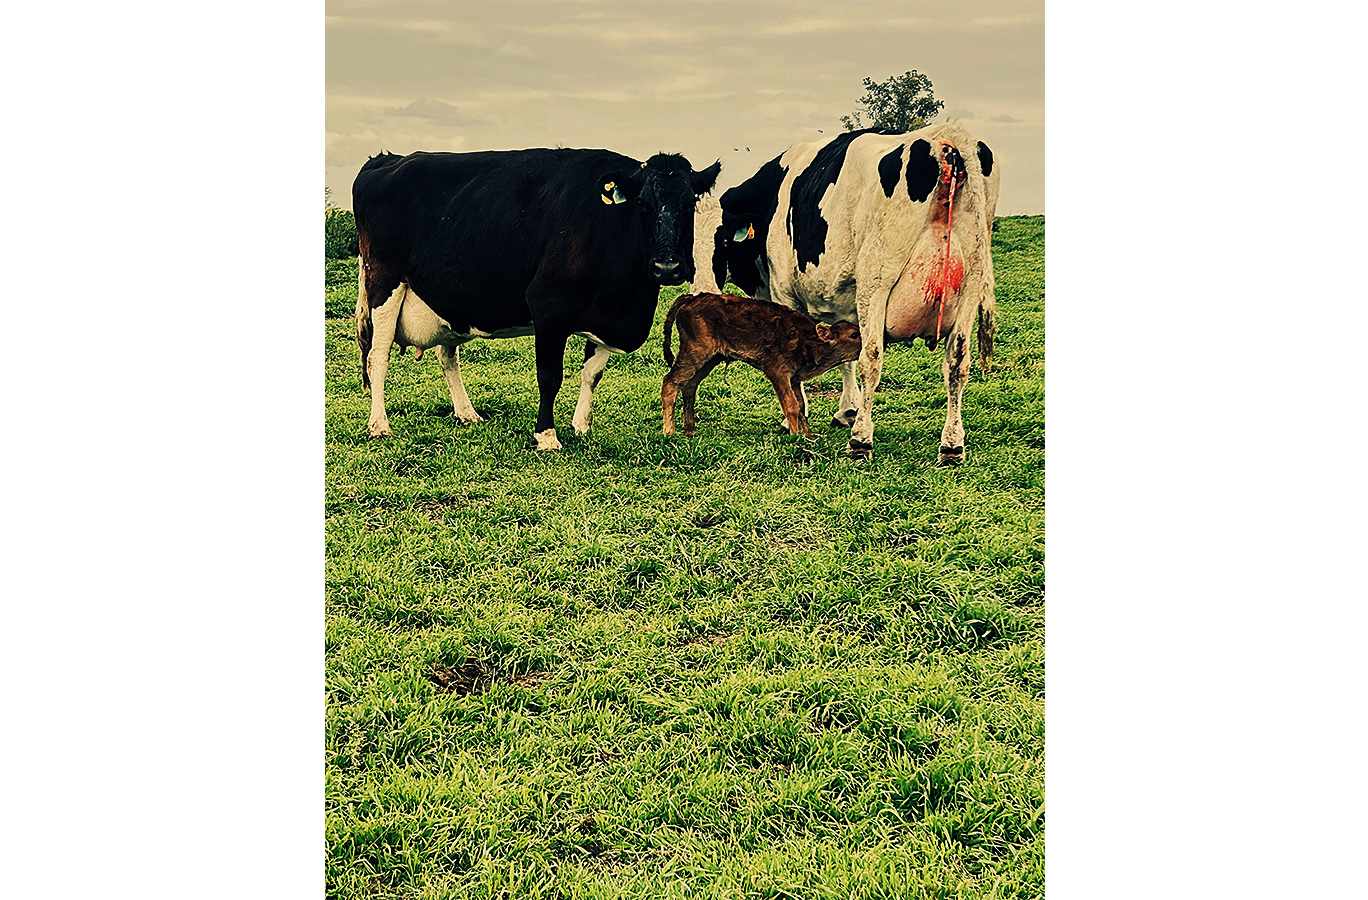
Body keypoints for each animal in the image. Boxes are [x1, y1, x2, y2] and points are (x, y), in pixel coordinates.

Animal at [352, 148, 721, 450]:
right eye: (642, 204)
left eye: (690, 203)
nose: (667, 267)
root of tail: (386, 159)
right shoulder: (549, 307)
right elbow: (550, 376)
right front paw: (546, 436)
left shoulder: (607, 313)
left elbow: (593, 373)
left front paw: (581, 426)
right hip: (383, 282)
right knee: (377, 356)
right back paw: (379, 425)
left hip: (448, 298)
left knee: (447, 355)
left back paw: (467, 413)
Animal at [660, 292, 862, 438]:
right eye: (854, 334)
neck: (808, 340)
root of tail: (690, 298)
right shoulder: (778, 373)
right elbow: (791, 405)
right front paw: (795, 437)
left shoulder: (794, 378)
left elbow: (801, 405)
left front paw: (809, 436)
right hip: (695, 353)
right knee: (670, 382)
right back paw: (669, 432)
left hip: (709, 360)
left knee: (689, 386)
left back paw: (690, 430)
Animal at [712, 123, 999, 463]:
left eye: (723, 241)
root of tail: (946, 139)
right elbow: (846, 351)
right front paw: (846, 410)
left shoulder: (785, 292)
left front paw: (795, 417)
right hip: (971, 285)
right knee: (957, 362)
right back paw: (952, 444)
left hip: (876, 280)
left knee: (872, 359)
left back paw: (861, 439)